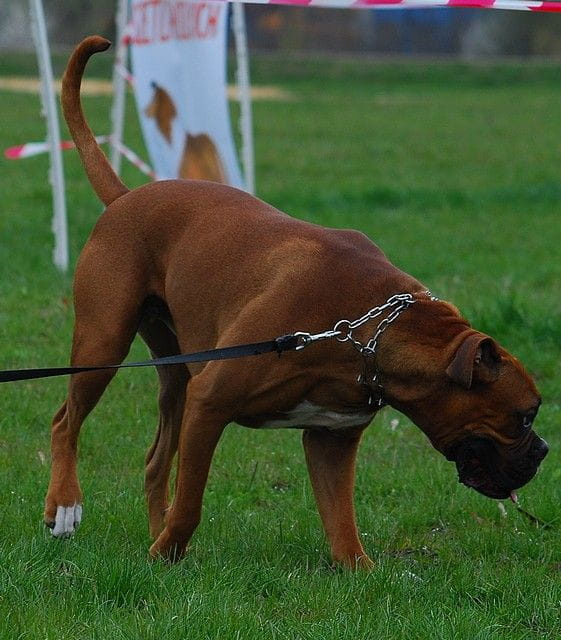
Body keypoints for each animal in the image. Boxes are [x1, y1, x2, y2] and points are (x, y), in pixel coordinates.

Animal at [47, 36, 548, 564]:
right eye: (524, 416)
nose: (543, 451)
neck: (366, 332)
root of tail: (126, 197)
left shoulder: (331, 441)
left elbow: (342, 526)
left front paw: (360, 572)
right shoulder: (209, 405)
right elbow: (191, 504)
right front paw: (167, 554)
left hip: (178, 376)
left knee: (154, 461)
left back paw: (150, 536)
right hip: (105, 345)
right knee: (65, 423)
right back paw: (66, 508)